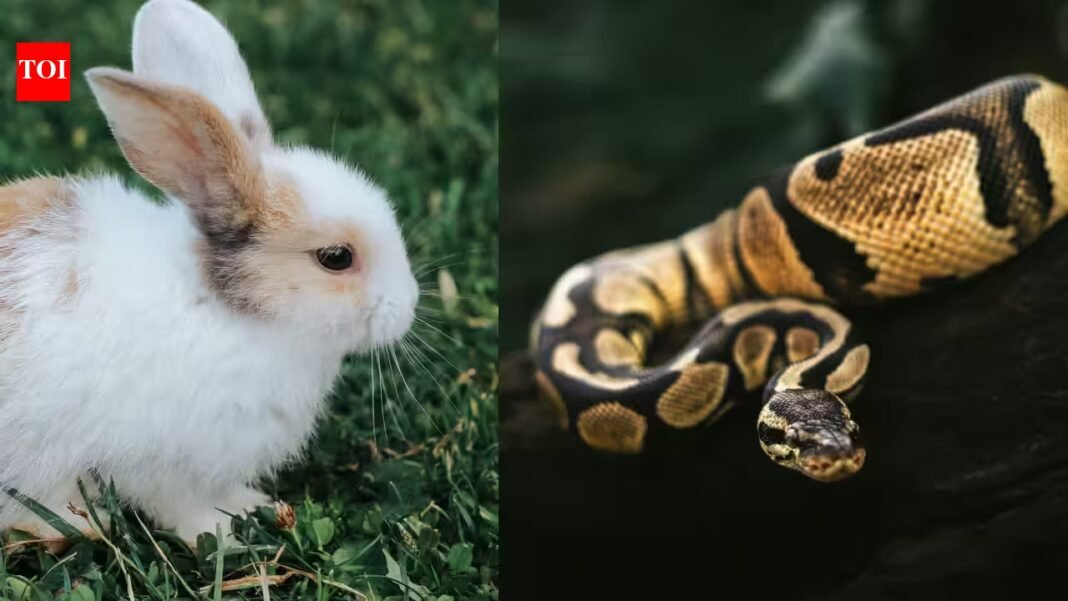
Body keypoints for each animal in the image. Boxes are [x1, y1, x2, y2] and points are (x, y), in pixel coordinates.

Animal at [0, 0, 419, 544]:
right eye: (336, 257)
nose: (408, 307)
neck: (225, 308)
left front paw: (252, 505)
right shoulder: (160, 462)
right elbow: (180, 507)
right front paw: (220, 534)